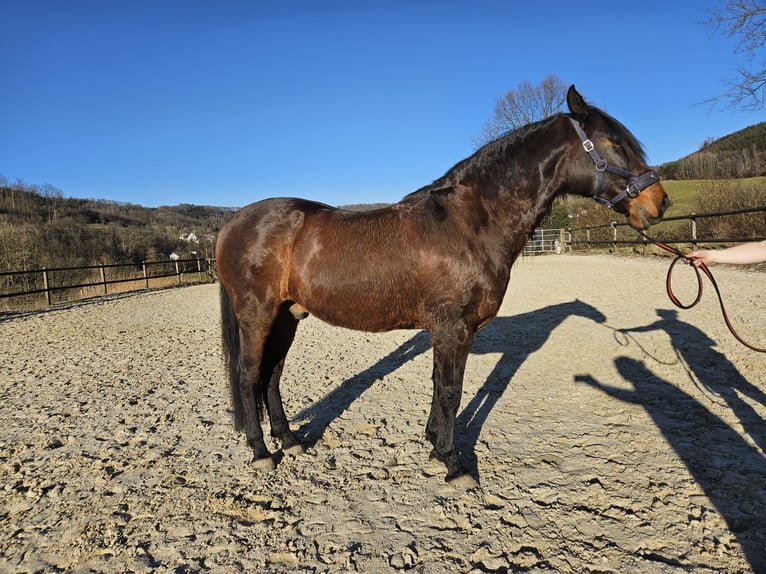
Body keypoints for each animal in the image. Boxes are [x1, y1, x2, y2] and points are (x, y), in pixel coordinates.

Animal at [216, 85, 672, 486]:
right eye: (612, 143)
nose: (659, 203)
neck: (469, 222)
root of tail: (232, 222)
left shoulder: (446, 330)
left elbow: (440, 386)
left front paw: (435, 447)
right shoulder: (455, 327)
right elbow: (452, 390)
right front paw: (454, 465)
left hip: (287, 316)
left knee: (271, 374)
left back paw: (290, 440)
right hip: (257, 315)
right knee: (248, 374)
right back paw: (261, 452)